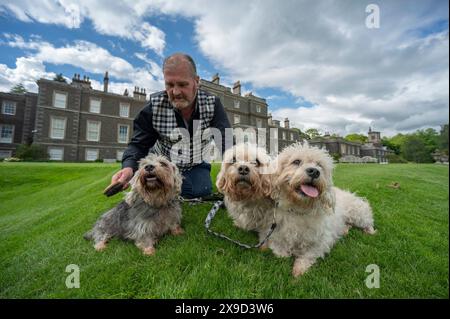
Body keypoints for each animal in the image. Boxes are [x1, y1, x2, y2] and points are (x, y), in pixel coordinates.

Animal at [268, 142, 376, 278]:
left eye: (319, 165)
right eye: (296, 161)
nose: (314, 172)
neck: (299, 208)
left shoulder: (321, 240)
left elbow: (308, 255)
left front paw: (299, 269)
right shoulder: (275, 234)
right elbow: (280, 251)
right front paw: (285, 254)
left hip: (358, 214)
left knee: (368, 223)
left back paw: (370, 231)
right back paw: (345, 230)